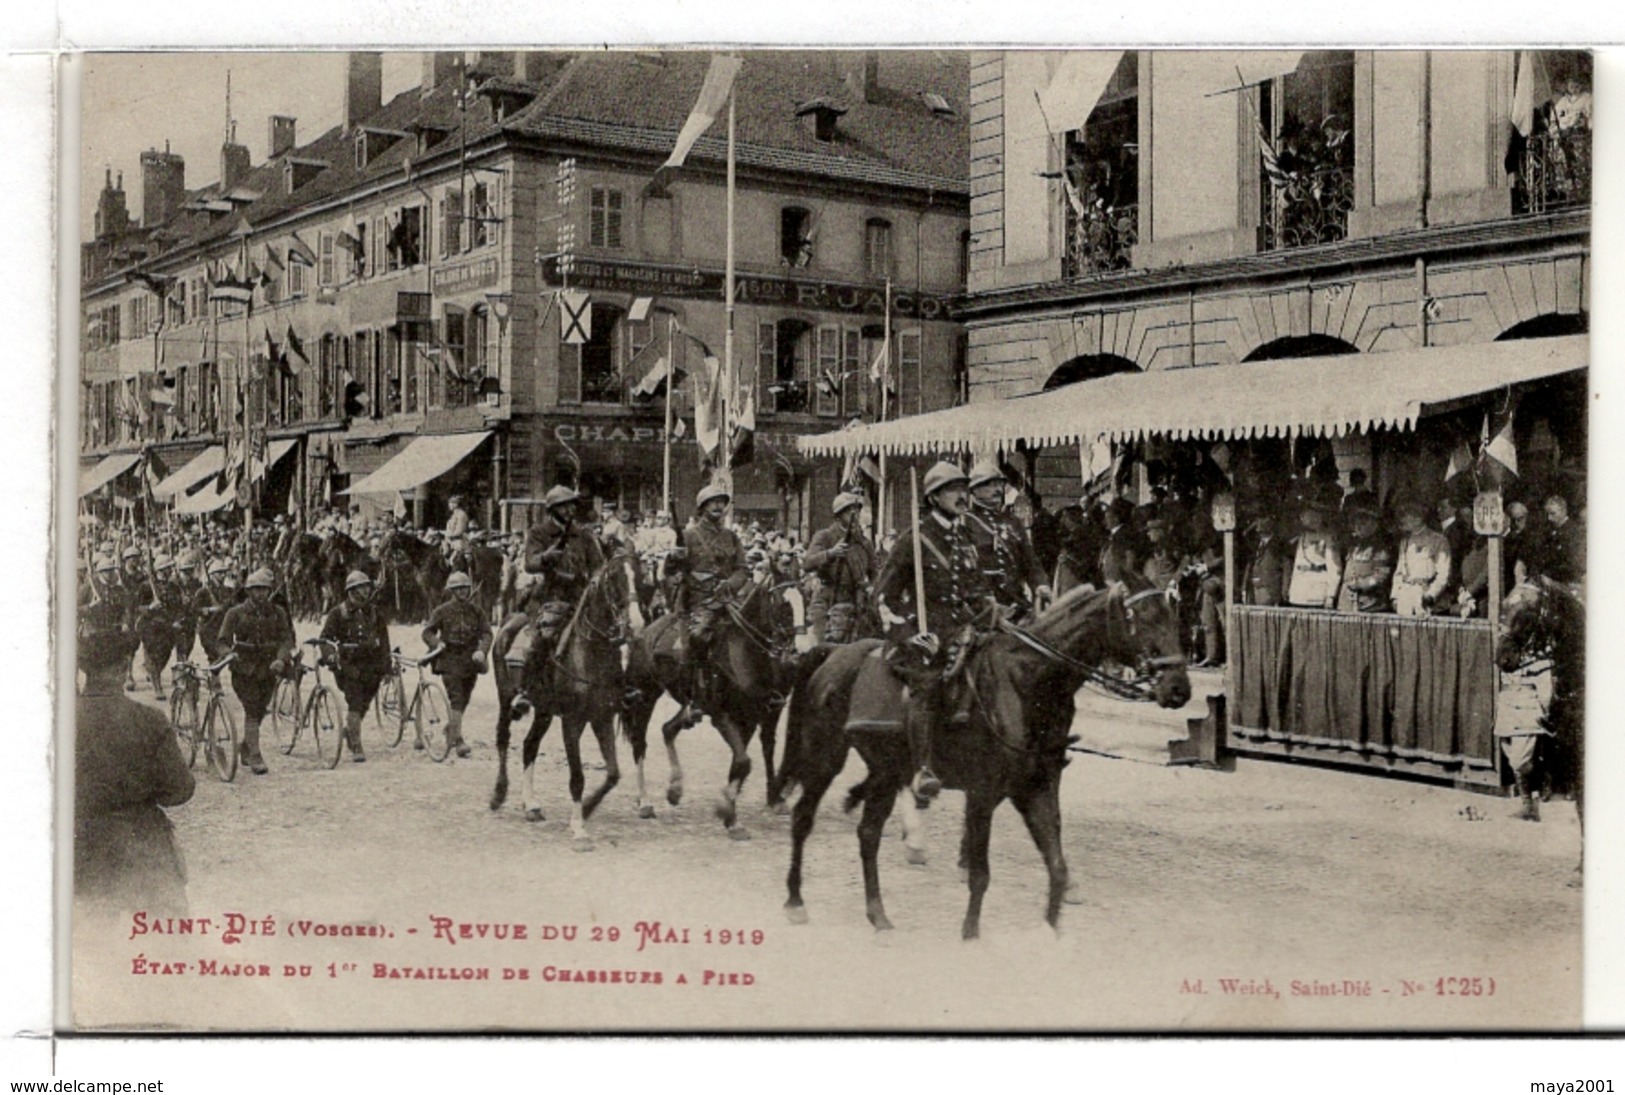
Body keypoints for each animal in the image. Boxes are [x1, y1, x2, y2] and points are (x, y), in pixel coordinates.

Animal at [490, 555, 643, 844]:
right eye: (615, 579)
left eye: (638, 575)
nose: (637, 626)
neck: (591, 653)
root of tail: (510, 619)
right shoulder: (572, 721)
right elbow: (577, 776)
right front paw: (578, 827)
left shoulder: (602, 718)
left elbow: (613, 774)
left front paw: (588, 808)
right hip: (506, 698)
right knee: (503, 738)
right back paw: (498, 794)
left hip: (544, 711)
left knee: (529, 745)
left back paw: (531, 805)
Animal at [617, 571, 802, 838]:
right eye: (781, 605)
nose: (792, 657)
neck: (741, 653)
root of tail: (644, 632)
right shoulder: (722, 717)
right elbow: (743, 762)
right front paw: (727, 811)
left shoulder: (749, 718)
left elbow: (740, 763)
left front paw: (730, 816)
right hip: (645, 697)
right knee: (639, 743)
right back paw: (644, 801)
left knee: (668, 729)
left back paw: (675, 789)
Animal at [773, 571, 1196, 935]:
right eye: (1143, 617)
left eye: (1173, 616)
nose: (1179, 688)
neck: (1028, 681)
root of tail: (834, 652)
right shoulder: (983, 792)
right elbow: (981, 874)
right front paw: (971, 934)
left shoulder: (1036, 787)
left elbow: (1057, 866)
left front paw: (1052, 930)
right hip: (826, 757)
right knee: (803, 819)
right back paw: (795, 902)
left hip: (887, 770)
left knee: (868, 834)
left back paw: (879, 916)